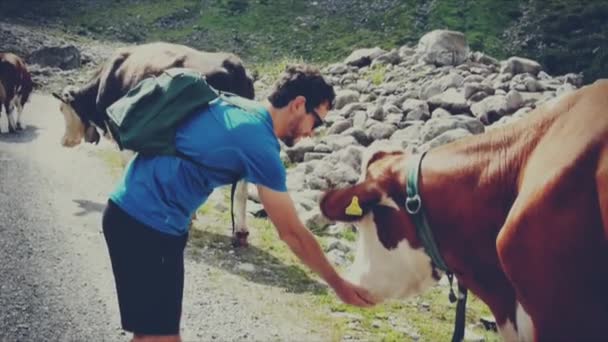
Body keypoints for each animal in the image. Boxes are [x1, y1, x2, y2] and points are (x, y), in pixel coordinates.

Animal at [49, 42, 254, 246]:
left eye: (62, 109)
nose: (63, 141)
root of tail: (232, 63)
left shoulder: (124, 138)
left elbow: (128, 168)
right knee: (241, 189)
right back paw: (240, 232)